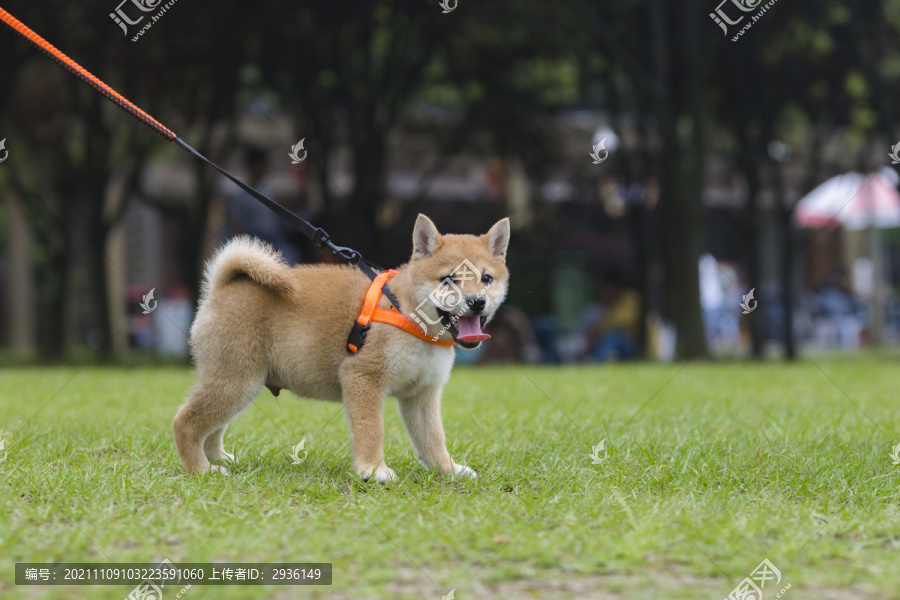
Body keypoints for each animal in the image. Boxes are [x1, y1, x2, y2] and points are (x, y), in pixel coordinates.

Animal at [175, 214, 510, 482]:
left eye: (486, 278)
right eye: (449, 279)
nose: (477, 302)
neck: (405, 310)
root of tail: (221, 287)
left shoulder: (422, 394)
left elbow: (433, 439)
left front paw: (449, 470)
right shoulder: (363, 377)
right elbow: (372, 430)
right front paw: (373, 471)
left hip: (239, 385)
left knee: (213, 426)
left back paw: (217, 458)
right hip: (236, 381)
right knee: (186, 422)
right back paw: (201, 470)